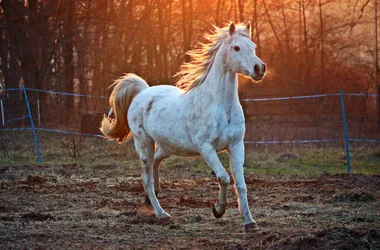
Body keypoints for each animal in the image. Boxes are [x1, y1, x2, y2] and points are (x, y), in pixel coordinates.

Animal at [101, 22, 268, 231]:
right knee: (146, 178)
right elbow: (223, 177)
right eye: (236, 47)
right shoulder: (206, 148)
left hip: (167, 146)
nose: (259, 68)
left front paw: (250, 223)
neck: (220, 106)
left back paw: (152, 198)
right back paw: (161, 213)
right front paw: (218, 210)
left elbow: (241, 184)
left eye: (253, 46)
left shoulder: (236, 145)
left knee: (156, 163)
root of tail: (143, 92)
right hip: (144, 143)